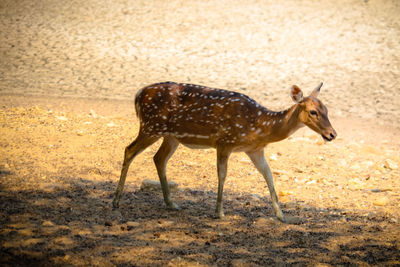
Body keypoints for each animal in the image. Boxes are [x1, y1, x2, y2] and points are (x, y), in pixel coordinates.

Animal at [112, 80, 338, 223]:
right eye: (313, 112)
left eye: (327, 110)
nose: (332, 134)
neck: (260, 126)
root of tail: (138, 94)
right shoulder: (224, 142)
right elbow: (222, 175)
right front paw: (219, 212)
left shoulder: (255, 151)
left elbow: (269, 176)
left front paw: (282, 216)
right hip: (151, 126)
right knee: (129, 150)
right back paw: (116, 201)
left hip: (171, 136)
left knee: (159, 158)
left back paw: (172, 203)